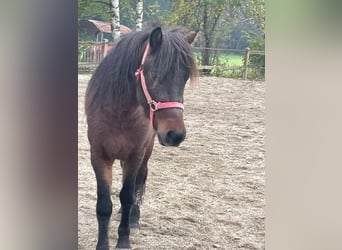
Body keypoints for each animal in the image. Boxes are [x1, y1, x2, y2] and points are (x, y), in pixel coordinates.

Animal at [85, 26, 198, 249]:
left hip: (146, 153)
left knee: (139, 182)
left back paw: (134, 218)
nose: (176, 134)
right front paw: (102, 244)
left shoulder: (135, 156)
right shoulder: (99, 156)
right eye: (154, 74)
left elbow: (128, 196)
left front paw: (124, 240)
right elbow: (104, 204)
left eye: (185, 77)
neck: (118, 114)